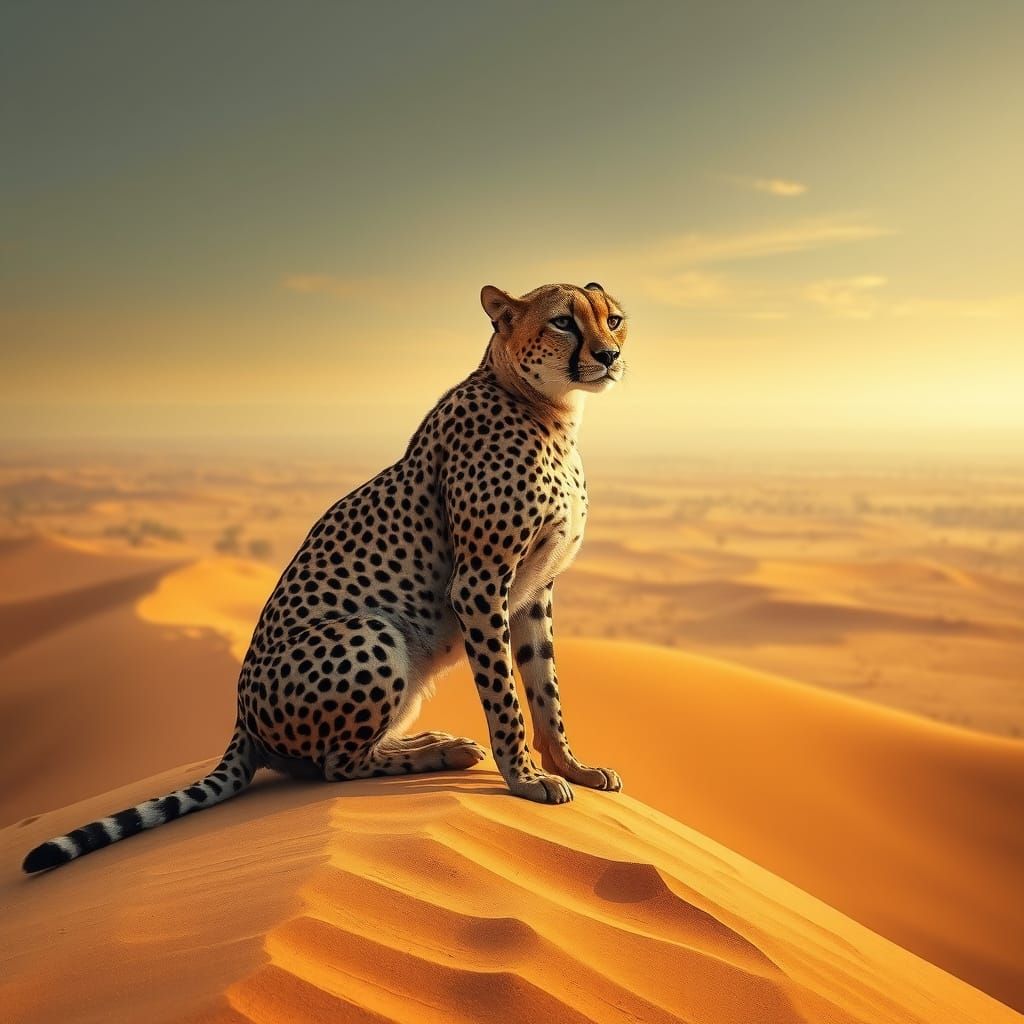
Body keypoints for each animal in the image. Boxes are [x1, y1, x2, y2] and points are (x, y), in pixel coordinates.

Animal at [23, 281, 628, 873]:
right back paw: (442, 752)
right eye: (563, 321)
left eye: (613, 319)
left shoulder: (533, 592)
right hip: (371, 632)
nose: (609, 355)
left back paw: (429, 740)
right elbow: (505, 696)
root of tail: (240, 719)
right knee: (338, 765)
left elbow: (545, 689)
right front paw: (523, 778)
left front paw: (571, 767)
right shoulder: (479, 583)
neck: (548, 410)